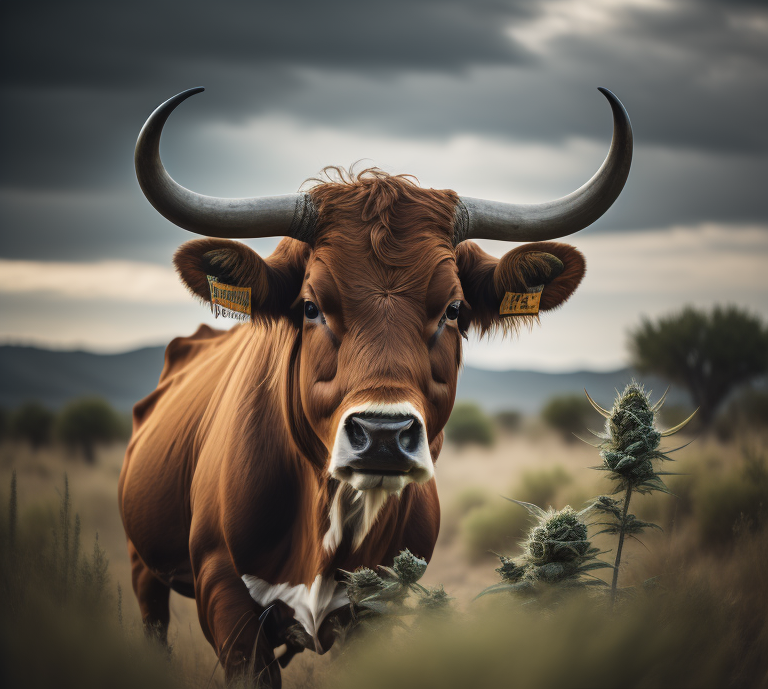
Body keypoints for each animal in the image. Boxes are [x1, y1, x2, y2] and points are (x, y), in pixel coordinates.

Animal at [119, 86, 632, 685]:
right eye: (310, 306)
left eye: (453, 309)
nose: (383, 436)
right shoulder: (226, 602)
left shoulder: (380, 610)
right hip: (142, 567)